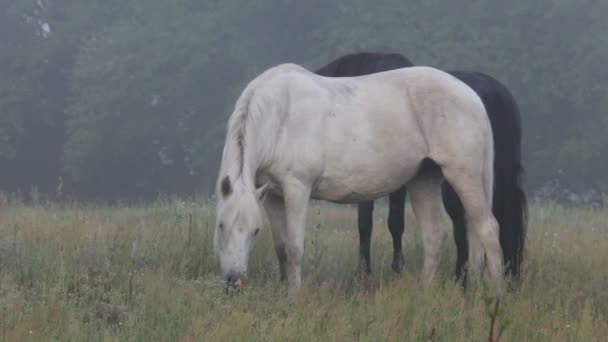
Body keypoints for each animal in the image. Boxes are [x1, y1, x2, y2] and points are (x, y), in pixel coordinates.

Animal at [214, 62, 504, 296]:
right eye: (221, 225)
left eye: (255, 231)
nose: (234, 282)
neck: (279, 116)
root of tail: (472, 97)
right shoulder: (273, 195)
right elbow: (282, 248)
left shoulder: (297, 188)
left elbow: (295, 248)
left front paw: (294, 297)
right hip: (424, 181)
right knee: (435, 235)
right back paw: (423, 294)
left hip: (463, 175)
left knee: (487, 229)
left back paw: (495, 295)